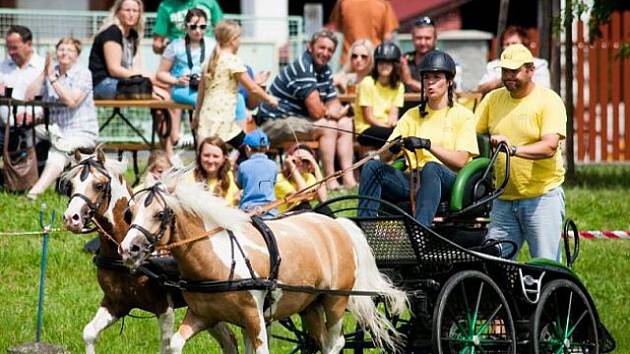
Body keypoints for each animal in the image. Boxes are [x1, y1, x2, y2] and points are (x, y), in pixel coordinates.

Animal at [63, 150, 238, 354]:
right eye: (71, 184)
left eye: (98, 185)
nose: (71, 218)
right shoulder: (116, 302)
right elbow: (89, 333)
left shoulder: (164, 308)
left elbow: (166, 346)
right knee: (229, 340)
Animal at [118, 180, 410, 354]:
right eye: (129, 213)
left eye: (159, 214)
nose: (128, 249)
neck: (218, 262)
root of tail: (337, 225)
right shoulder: (202, 316)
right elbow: (175, 344)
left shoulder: (254, 318)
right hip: (310, 306)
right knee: (320, 340)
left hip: (335, 301)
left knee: (333, 343)